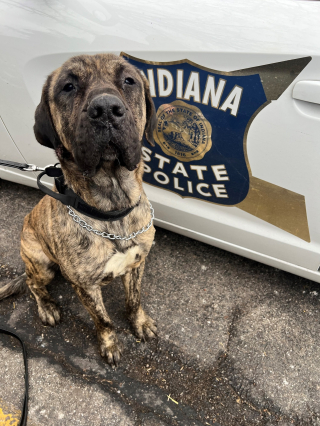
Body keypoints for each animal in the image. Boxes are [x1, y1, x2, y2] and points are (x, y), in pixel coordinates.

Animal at [0, 53, 159, 366]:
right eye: (68, 86)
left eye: (129, 80)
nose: (106, 109)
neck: (112, 208)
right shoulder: (86, 287)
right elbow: (103, 320)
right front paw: (109, 344)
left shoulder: (138, 263)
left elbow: (134, 300)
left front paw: (140, 322)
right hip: (42, 264)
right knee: (32, 283)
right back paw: (47, 307)